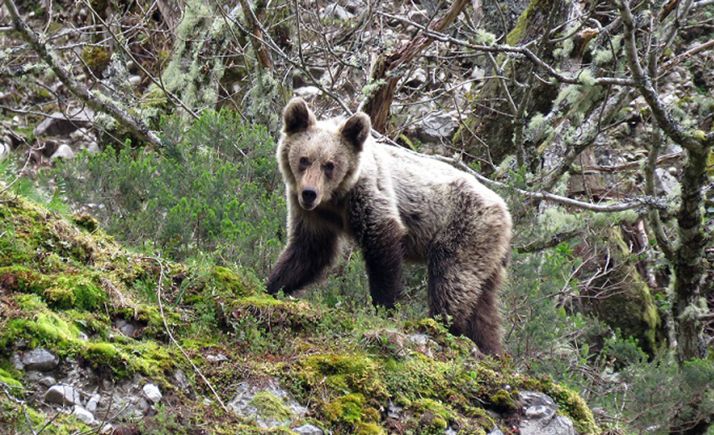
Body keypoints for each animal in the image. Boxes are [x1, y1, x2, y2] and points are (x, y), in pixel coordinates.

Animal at [267, 98, 512, 355]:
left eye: (329, 165)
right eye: (304, 159)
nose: (309, 193)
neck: (336, 198)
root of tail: (505, 210)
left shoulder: (369, 195)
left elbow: (382, 246)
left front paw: (384, 306)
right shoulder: (314, 216)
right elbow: (309, 251)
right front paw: (273, 284)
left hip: (465, 230)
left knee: (451, 281)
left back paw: (444, 327)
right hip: (488, 256)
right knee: (484, 308)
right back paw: (490, 348)